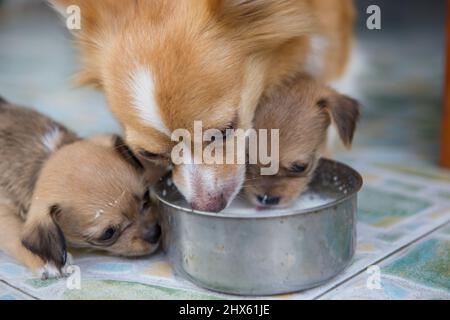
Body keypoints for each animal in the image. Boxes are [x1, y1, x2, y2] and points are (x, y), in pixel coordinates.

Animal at [0, 98, 165, 278]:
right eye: (108, 233)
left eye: (146, 195)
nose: (156, 233)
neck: (45, 158)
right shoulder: (4, 215)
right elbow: (17, 236)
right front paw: (46, 261)